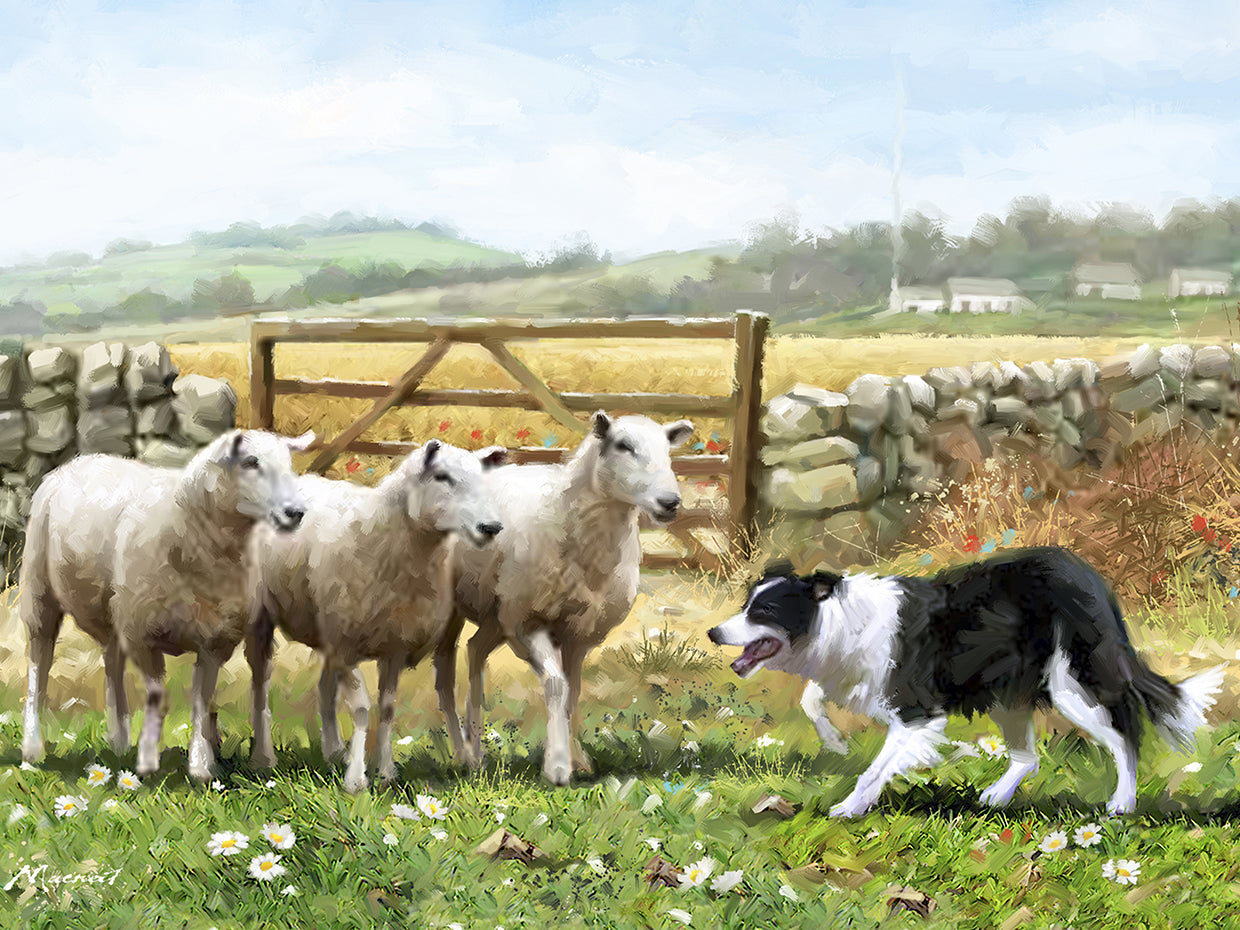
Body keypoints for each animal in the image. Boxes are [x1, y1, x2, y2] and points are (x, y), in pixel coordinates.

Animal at [19, 429, 314, 781]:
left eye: (289, 463)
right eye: (251, 462)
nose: (295, 513)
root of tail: (81, 459)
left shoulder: (216, 638)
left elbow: (202, 700)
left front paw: (201, 767)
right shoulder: (142, 633)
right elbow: (158, 699)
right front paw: (148, 762)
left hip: (114, 611)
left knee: (112, 665)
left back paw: (119, 741)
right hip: (40, 590)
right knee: (39, 665)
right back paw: (32, 748)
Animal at [245, 439, 507, 793]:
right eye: (442, 476)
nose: (491, 528)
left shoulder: (393, 645)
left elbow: (386, 708)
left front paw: (385, 771)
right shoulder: (346, 643)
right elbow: (360, 708)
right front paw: (356, 779)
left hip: (331, 627)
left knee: (325, 687)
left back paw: (333, 751)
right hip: (266, 617)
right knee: (260, 683)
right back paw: (264, 759)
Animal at [435, 411, 692, 786]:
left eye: (668, 448)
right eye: (623, 445)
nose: (670, 502)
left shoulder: (578, 632)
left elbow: (573, 693)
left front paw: (578, 759)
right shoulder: (528, 622)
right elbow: (556, 685)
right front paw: (556, 766)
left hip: (498, 613)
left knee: (475, 649)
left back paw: (476, 746)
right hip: (456, 609)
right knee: (444, 676)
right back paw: (462, 753)